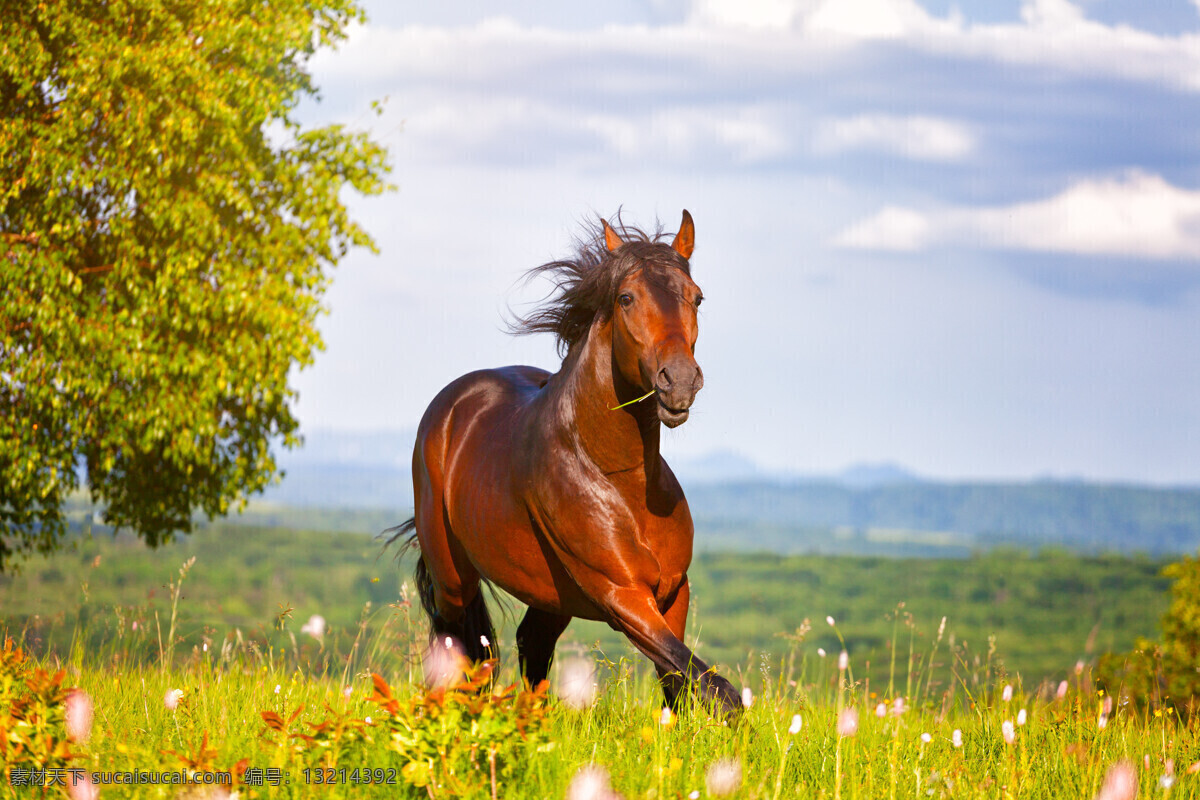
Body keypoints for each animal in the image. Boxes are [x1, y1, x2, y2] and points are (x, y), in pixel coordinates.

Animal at [388, 209, 739, 714]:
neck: (620, 479)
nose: (679, 381)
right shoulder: (622, 595)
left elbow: (680, 681)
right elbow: (715, 688)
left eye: (696, 297)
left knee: (529, 644)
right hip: (453, 576)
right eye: (627, 298)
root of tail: (449, 407)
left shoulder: (673, 592)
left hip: (550, 595)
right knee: (460, 646)